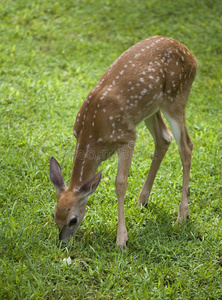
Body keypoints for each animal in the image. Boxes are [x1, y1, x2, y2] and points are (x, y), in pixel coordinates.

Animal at [49, 35, 198, 251]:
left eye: (73, 220)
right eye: (54, 215)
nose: (62, 242)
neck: (93, 137)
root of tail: (192, 57)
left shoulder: (127, 137)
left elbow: (120, 183)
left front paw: (122, 239)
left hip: (176, 97)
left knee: (186, 145)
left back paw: (182, 215)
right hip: (150, 108)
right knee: (164, 138)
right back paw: (142, 200)